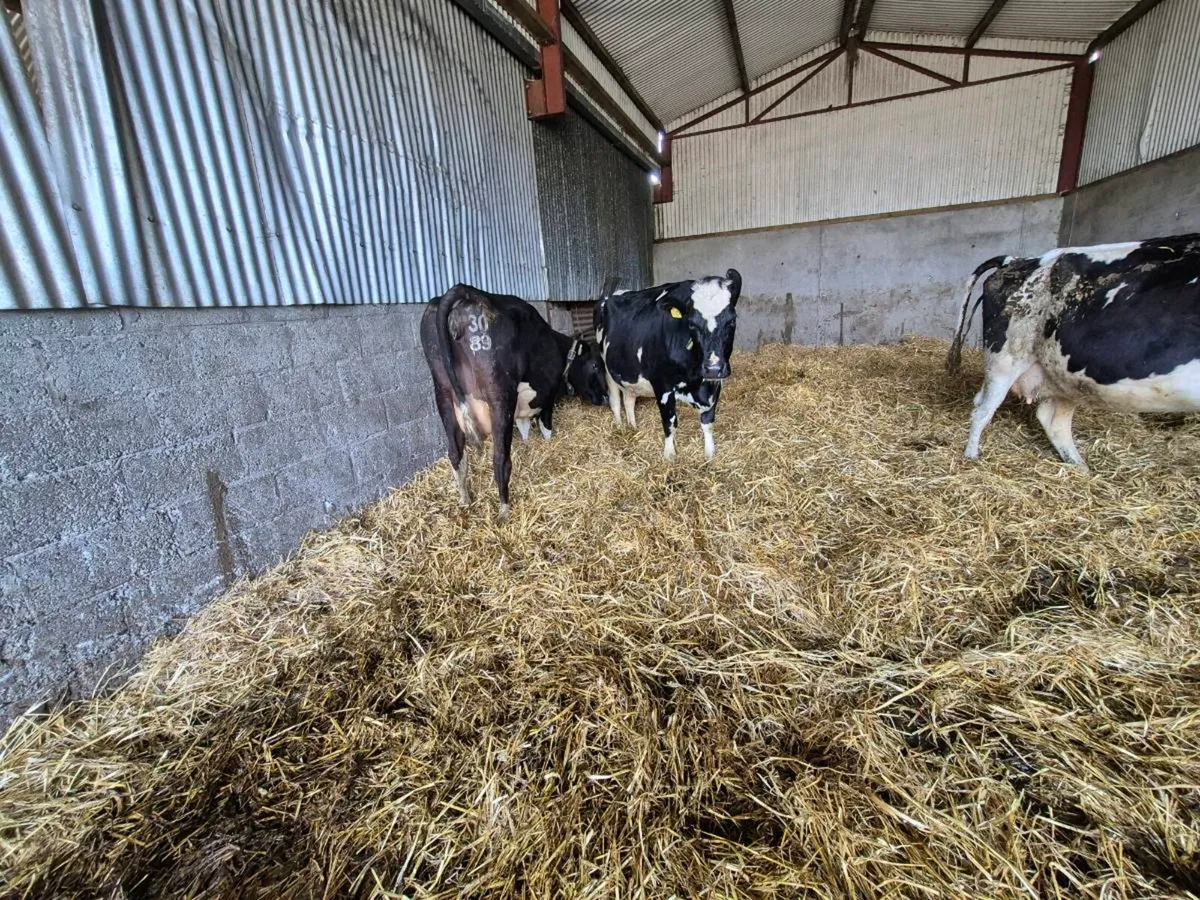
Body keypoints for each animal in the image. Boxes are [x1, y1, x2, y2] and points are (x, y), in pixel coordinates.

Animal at [420, 283, 609, 517]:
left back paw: (465, 500)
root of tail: (464, 290)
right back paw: (504, 510)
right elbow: (546, 427)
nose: (606, 397)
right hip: (500, 395)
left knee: (455, 453)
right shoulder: (548, 396)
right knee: (500, 459)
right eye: (595, 365)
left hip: (443, 393)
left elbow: (525, 430)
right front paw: (548, 442)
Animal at [595, 269, 742, 461]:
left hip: (630, 371)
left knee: (629, 399)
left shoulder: (713, 385)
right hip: (606, 366)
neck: (694, 378)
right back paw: (620, 428)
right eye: (691, 323)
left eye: (732, 321)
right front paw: (670, 455)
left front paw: (710, 454)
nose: (713, 368)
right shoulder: (662, 385)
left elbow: (708, 420)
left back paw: (633, 427)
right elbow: (670, 421)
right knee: (615, 401)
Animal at [946, 233, 1200, 471]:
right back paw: (971, 456)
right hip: (1006, 360)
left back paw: (1081, 468)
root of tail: (1017, 260)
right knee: (982, 409)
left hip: (1065, 377)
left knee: (1052, 419)